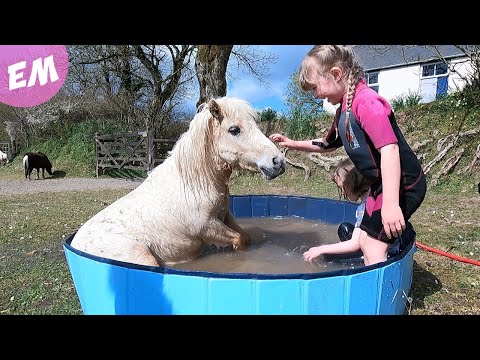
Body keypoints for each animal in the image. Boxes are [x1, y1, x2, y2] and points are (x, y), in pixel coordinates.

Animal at [71, 97, 284, 266]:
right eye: (234, 130)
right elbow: (240, 240)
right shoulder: (208, 228)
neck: (193, 184)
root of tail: (74, 245)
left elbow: (245, 236)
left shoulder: (225, 217)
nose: (278, 162)